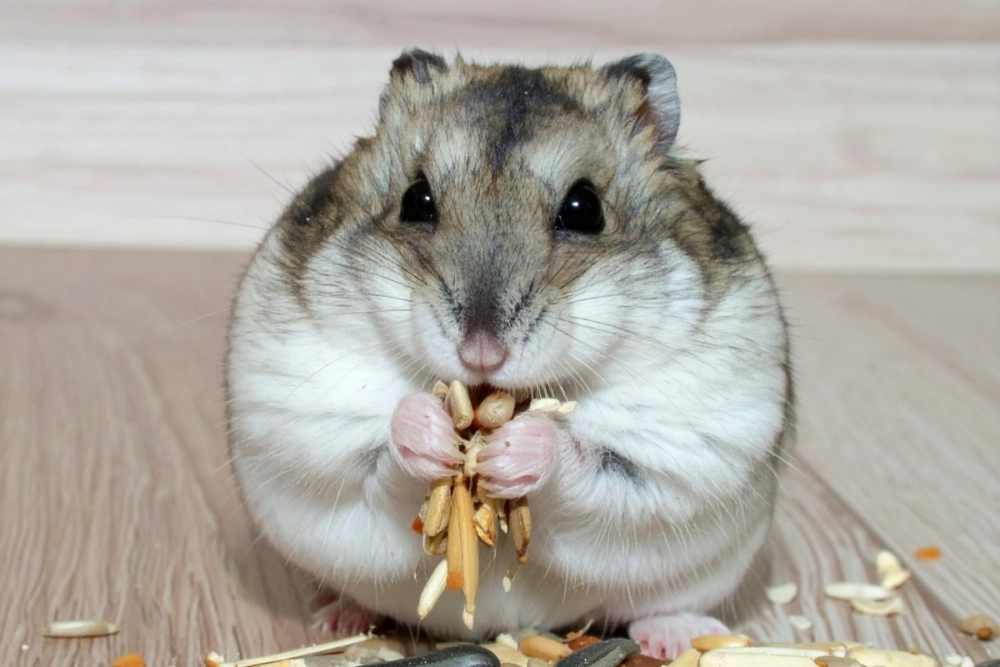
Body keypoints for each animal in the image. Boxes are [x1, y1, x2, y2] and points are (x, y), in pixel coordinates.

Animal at [226, 49, 793, 659]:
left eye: (585, 210)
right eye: (416, 201)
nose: (481, 352)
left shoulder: (683, 449)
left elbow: (589, 462)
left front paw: (514, 451)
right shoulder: (300, 416)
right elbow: (378, 452)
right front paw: (431, 433)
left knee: (662, 605)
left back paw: (675, 637)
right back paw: (338, 617)